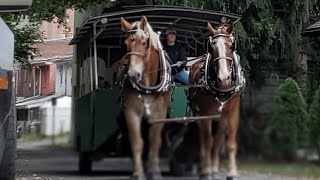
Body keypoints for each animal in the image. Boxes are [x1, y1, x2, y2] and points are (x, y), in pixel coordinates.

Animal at [119, 15, 171, 180]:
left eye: (143, 42)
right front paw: (137, 173)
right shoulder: (131, 112)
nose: (132, 74)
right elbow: (136, 142)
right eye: (126, 44)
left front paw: (154, 171)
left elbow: (154, 140)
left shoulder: (159, 114)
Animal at [189, 22, 246, 180]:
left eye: (231, 46)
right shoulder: (205, 114)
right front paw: (206, 170)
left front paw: (232, 172)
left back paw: (214, 166)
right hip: (198, 113)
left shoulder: (232, 113)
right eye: (212, 48)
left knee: (218, 137)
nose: (224, 78)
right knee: (203, 137)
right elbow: (207, 141)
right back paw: (202, 165)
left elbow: (229, 143)